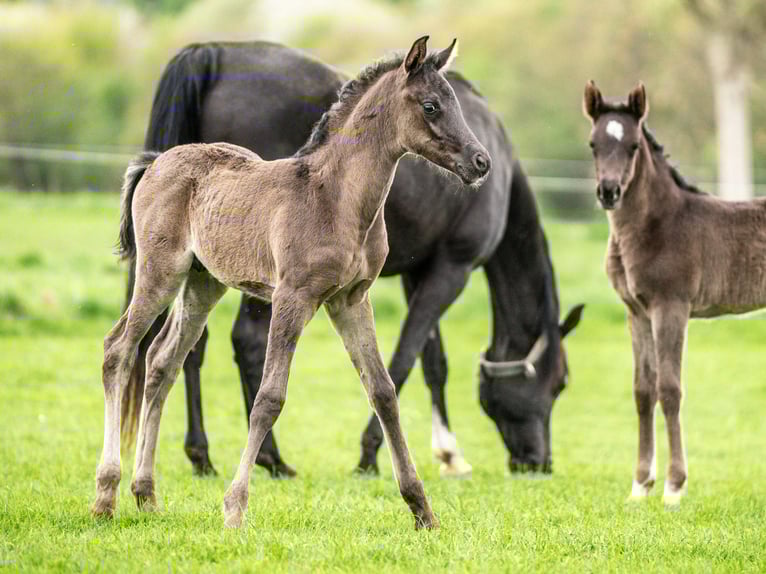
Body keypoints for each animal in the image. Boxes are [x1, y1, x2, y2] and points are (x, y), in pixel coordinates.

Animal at [92, 36, 491, 530]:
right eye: (431, 105)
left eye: (454, 101)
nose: (481, 162)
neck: (337, 199)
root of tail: (154, 162)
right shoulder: (292, 296)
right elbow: (269, 398)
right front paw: (235, 507)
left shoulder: (351, 300)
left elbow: (383, 392)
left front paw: (422, 509)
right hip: (159, 272)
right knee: (119, 349)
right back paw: (106, 495)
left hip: (203, 284)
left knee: (163, 361)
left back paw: (146, 493)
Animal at [123, 40, 584, 480]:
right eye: (559, 384)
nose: (538, 462)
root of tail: (209, 53)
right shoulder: (452, 270)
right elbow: (405, 359)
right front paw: (372, 455)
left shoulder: (417, 272)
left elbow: (432, 362)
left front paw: (449, 455)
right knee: (240, 343)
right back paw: (269, 459)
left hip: (205, 269)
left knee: (188, 349)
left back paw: (203, 456)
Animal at [583, 81, 766, 506]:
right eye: (593, 144)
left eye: (634, 145)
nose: (609, 192)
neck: (656, 224)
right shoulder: (637, 312)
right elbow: (643, 389)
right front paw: (639, 486)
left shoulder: (672, 307)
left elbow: (669, 389)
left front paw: (673, 487)